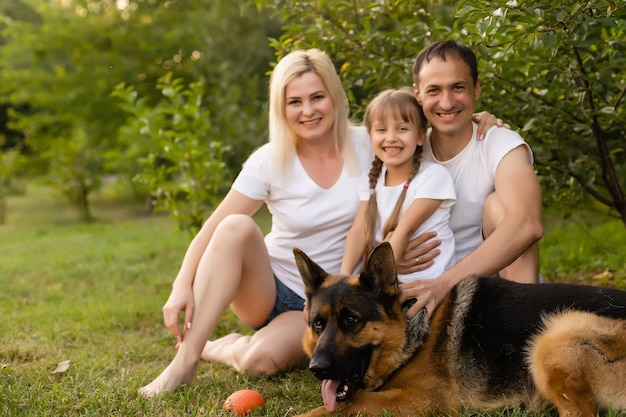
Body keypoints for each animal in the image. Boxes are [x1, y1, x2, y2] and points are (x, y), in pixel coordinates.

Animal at [292, 242, 624, 414]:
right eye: (318, 324)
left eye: (351, 320)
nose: (317, 369)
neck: (411, 338)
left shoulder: (421, 401)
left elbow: (341, 406)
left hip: (552, 338)